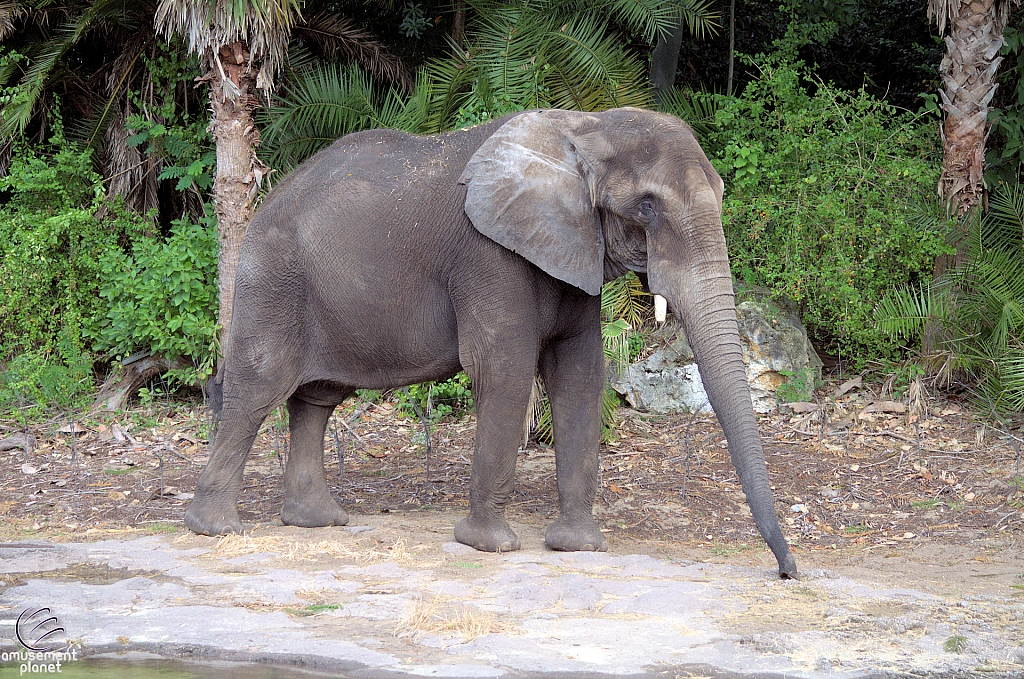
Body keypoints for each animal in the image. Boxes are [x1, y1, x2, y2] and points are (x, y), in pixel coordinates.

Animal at [188, 106, 798, 577]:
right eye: (647, 205)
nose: (787, 571)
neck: (582, 128)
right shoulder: (487, 254)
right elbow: (503, 367)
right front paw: (490, 546)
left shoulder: (571, 249)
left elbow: (580, 374)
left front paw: (578, 547)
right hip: (272, 281)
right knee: (256, 389)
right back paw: (215, 529)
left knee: (315, 399)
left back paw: (317, 520)